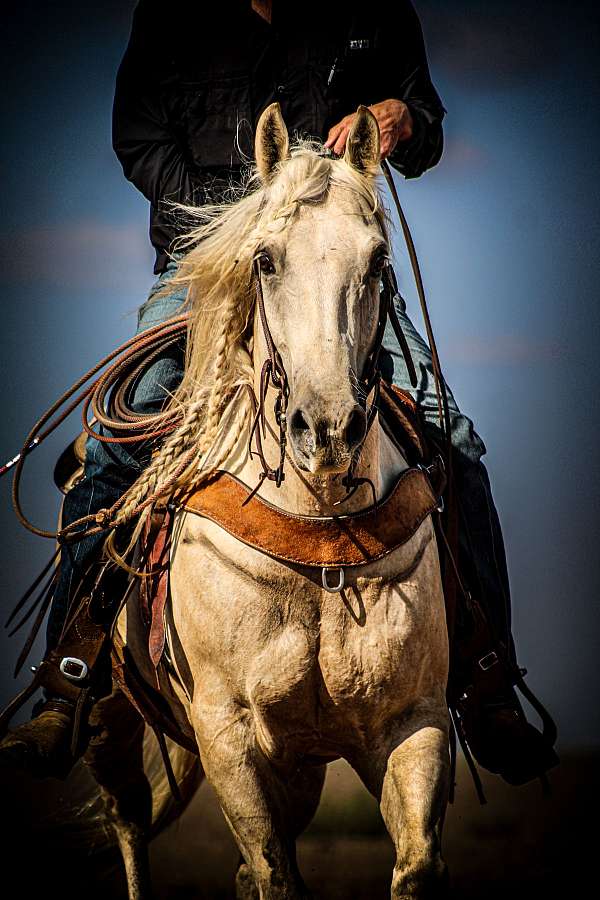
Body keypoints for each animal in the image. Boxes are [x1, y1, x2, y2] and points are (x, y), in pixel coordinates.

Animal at [85, 107, 450, 900]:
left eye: (378, 261)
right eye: (265, 260)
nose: (329, 429)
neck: (320, 538)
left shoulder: (415, 722)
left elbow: (412, 866)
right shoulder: (228, 735)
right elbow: (273, 872)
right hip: (111, 720)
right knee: (127, 822)